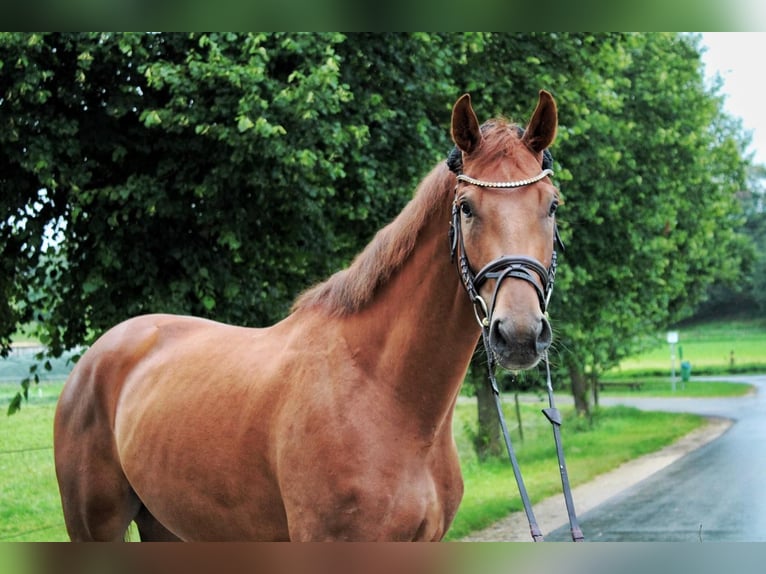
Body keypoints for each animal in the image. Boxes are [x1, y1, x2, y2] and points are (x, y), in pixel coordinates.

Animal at [52, 91, 560, 544]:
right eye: (466, 208)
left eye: (552, 205)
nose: (518, 334)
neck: (386, 393)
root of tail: (95, 357)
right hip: (94, 528)